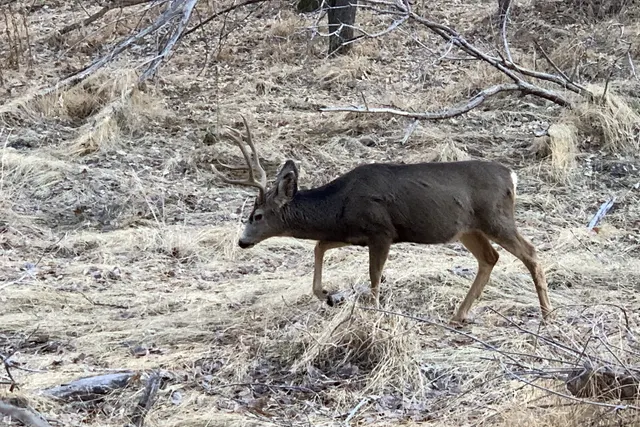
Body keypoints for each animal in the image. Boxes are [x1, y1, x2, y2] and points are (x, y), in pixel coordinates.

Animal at [212, 116, 552, 324]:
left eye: (257, 215)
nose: (242, 241)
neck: (339, 203)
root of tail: (511, 176)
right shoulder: (352, 232)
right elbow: (320, 246)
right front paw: (328, 296)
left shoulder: (381, 231)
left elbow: (374, 277)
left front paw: (372, 314)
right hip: (468, 229)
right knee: (490, 258)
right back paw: (459, 315)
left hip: (495, 217)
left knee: (530, 252)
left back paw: (547, 314)